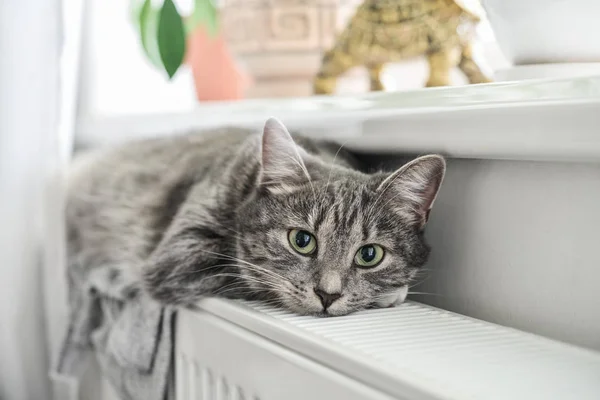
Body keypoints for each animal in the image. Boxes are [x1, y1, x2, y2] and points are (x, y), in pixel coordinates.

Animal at [69, 119, 446, 316]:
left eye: (370, 255)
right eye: (302, 240)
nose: (328, 295)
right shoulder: (179, 257)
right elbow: (250, 275)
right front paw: (391, 294)